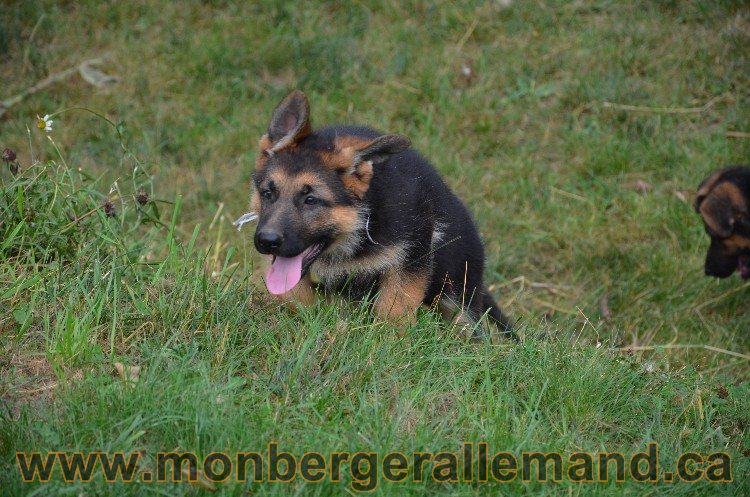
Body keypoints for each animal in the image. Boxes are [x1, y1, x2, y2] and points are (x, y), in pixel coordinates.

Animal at [250, 90, 516, 336]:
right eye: (267, 193)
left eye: (311, 200)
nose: (266, 241)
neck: (361, 227)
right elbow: (295, 296)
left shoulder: (409, 260)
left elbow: (394, 310)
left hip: (459, 295)